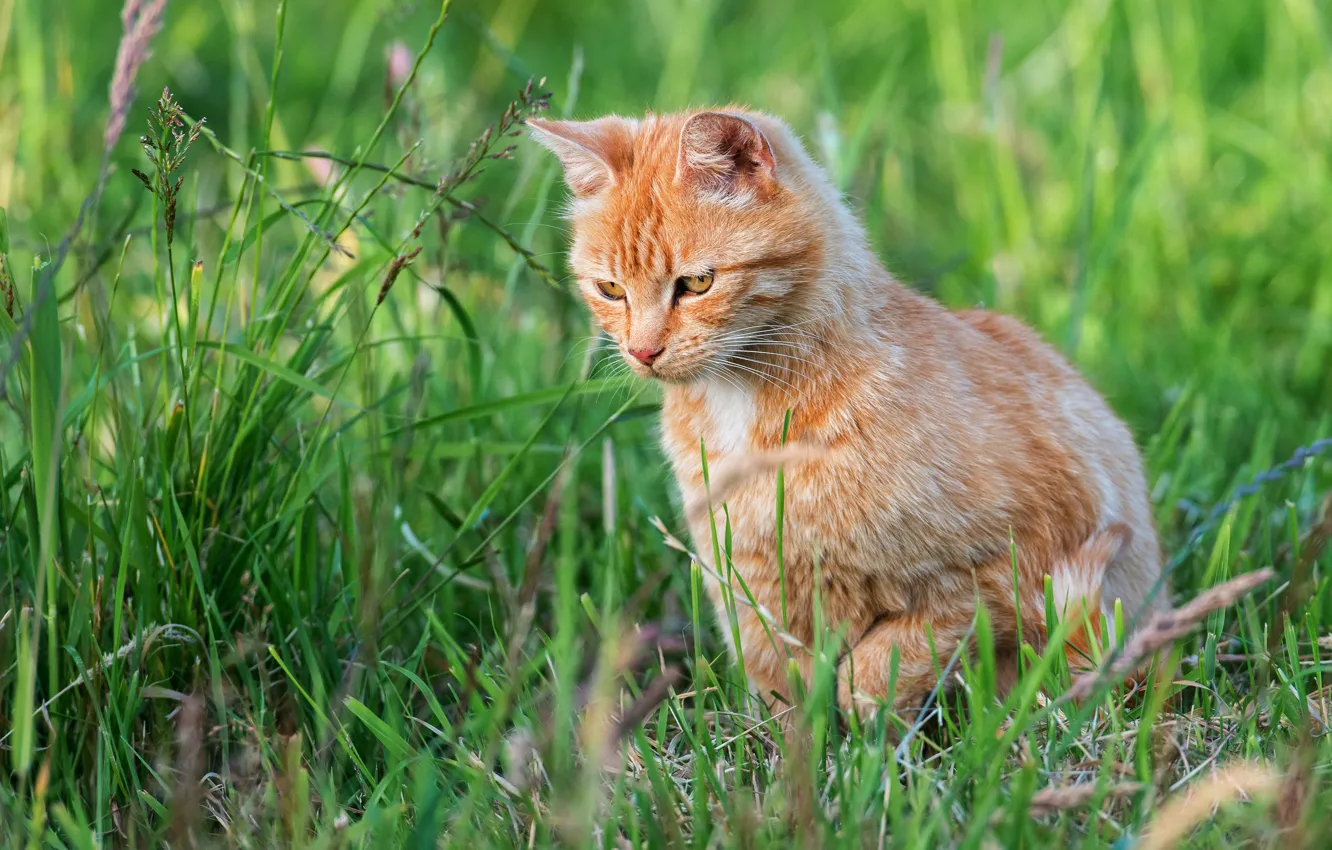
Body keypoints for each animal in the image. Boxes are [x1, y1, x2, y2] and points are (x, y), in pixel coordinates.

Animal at [524, 105, 1161, 719]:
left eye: (697, 282)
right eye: (610, 290)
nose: (642, 352)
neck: (743, 408)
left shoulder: (1002, 567)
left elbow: (887, 661)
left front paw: (863, 721)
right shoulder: (753, 593)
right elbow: (781, 699)